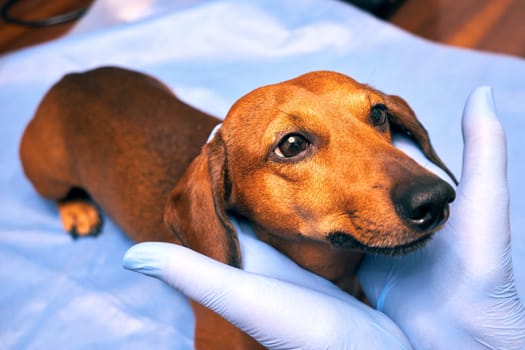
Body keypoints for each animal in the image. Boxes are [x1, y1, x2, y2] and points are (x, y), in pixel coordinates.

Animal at [19, 66, 454, 350]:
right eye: (291, 144)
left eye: (378, 113)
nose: (435, 197)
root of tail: (72, 78)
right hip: (45, 172)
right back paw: (76, 209)